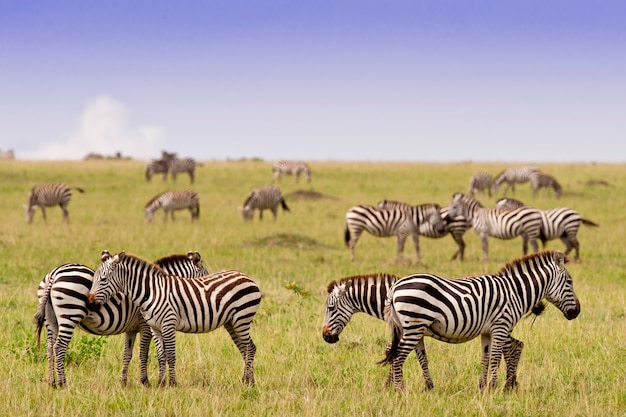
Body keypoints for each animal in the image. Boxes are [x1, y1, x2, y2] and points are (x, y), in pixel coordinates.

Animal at [34, 250, 210, 386]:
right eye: (205, 277)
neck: (156, 289)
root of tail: (55, 273)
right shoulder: (146, 325)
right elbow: (144, 353)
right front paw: (145, 382)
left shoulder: (131, 329)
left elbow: (127, 354)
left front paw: (123, 382)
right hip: (69, 314)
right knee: (59, 347)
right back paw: (62, 383)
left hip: (51, 319)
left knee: (49, 347)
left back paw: (51, 382)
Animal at [86, 249, 260, 386]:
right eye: (94, 279)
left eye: (103, 279)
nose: (89, 303)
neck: (151, 291)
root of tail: (245, 275)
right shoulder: (154, 327)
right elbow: (160, 355)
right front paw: (161, 383)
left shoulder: (165, 324)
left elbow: (167, 354)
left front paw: (171, 383)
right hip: (232, 322)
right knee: (244, 348)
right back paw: (247, 380)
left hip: (242, 318)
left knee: (250, 347)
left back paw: (248, 382)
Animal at [380, 250, 580, 390]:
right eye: (570, 282)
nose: (577, 311)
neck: (515, 292)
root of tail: (395, 288)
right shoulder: (501, 326)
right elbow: (496, 357)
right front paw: (493, 387)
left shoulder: (487, 331)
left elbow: (485, 357)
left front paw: (483, 387)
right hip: (414, 326)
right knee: (397, 357)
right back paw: (400, 391)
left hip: (411, 328)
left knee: (404, 355)